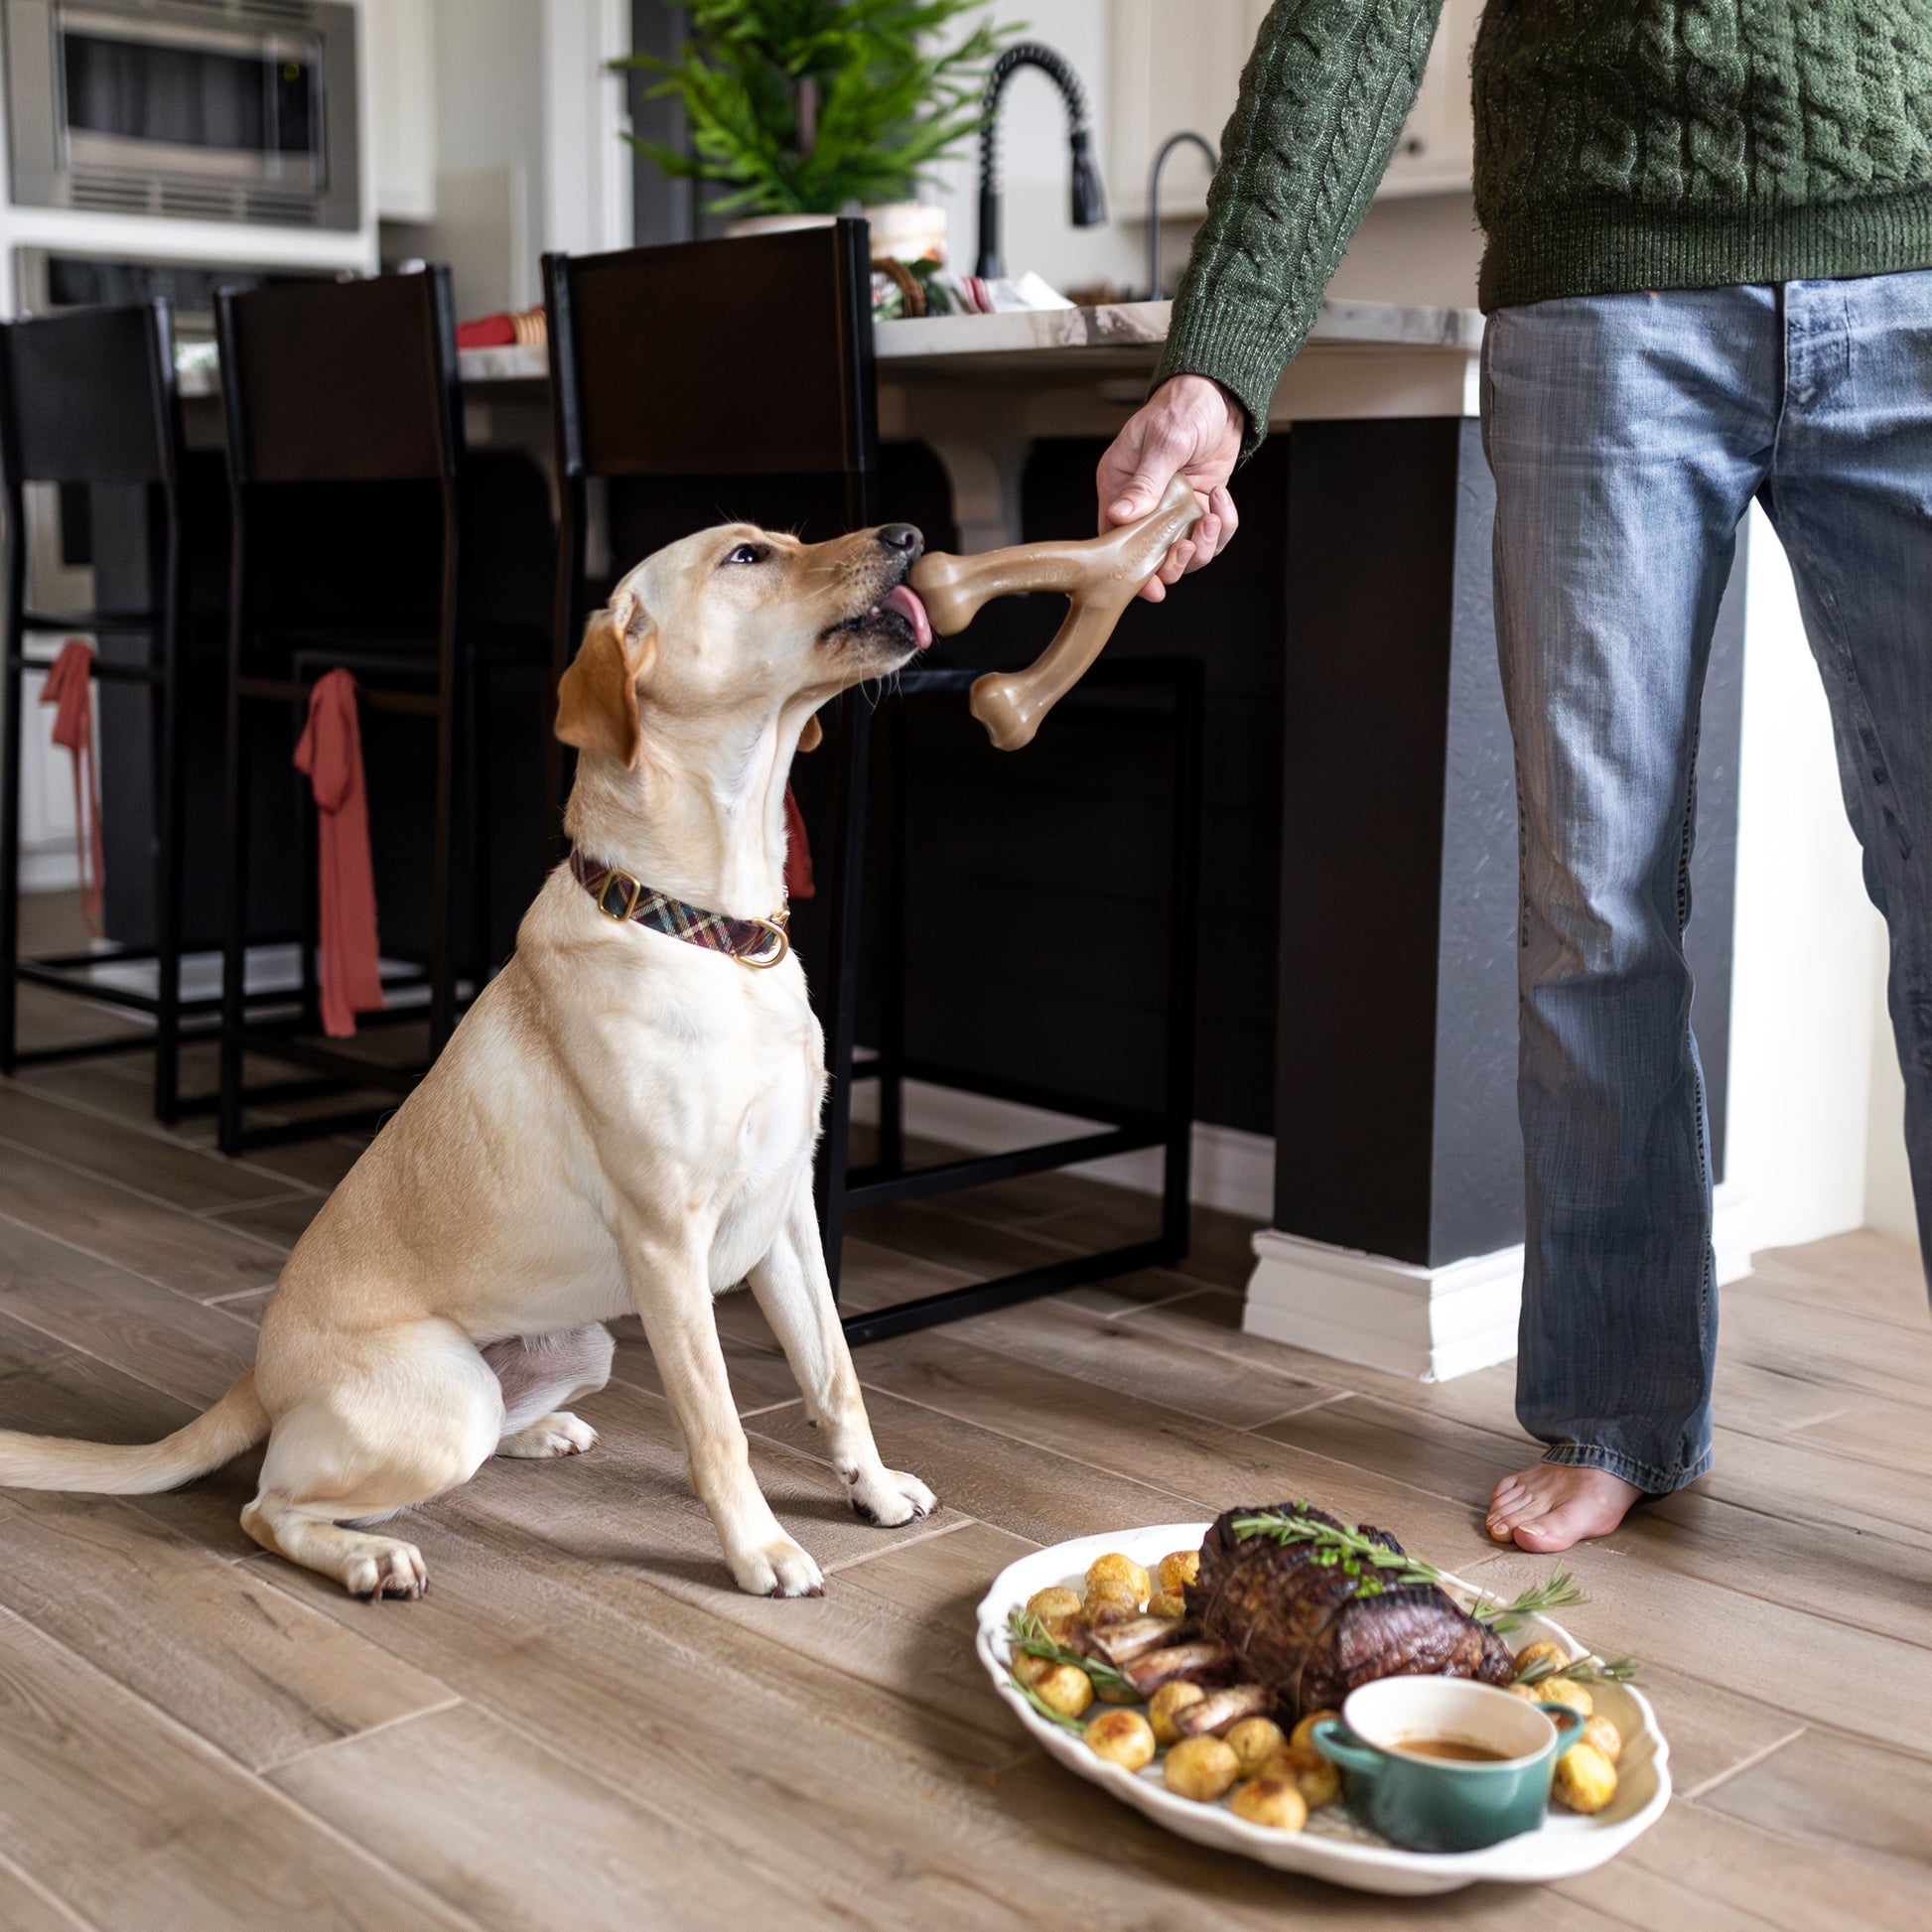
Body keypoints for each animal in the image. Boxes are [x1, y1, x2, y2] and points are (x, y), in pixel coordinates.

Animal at [0, 513, 938, 1599]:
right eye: (745, 556)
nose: (909, 532)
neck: (708, 929)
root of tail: (259, 1374)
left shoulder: (786, 1217)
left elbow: (835, 1375)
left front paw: (873, 1487)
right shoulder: (669, 1245)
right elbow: (718, 1427)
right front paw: (761, 1551)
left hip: (576, 1346)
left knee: (466, 1432)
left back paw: (540, 1432)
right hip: (446, 1403)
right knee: (268, 1504)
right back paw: (371, 1558)